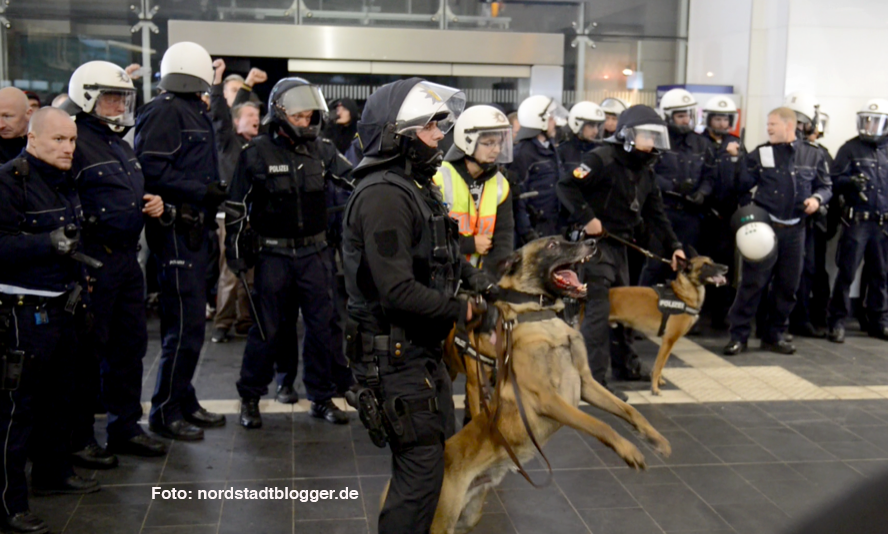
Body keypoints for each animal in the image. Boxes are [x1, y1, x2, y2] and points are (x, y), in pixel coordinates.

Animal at [426, 239, 668, 534]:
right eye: (552, 244)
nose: (592, 241)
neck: (541, 319)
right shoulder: (550, 400)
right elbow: (601, 425)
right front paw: (628, 450)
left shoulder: (586, 384)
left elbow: (631, 411)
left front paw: (655, 439)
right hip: (442, 521)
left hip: (468, 515)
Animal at [612, 255, 728, 398]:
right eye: (705, 265)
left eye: (712, 261)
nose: (726, 268)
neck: (683, 294)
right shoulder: (668, 340)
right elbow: (658, 366)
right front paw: (654, 389)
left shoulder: (667, 342)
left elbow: (661, 365)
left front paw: (658, 381)